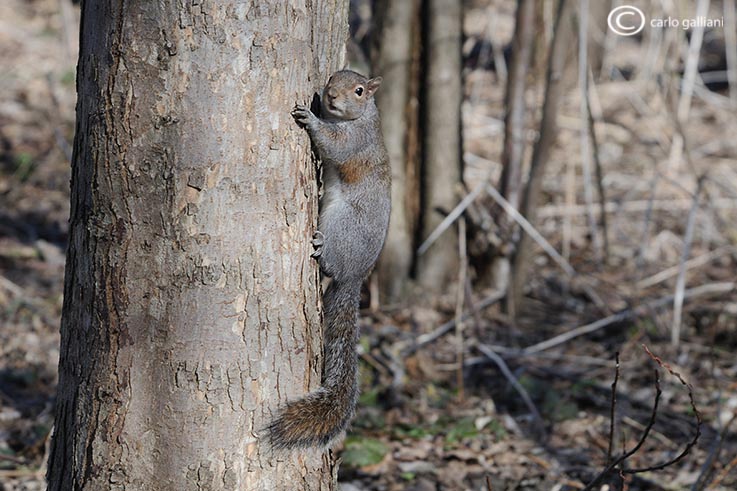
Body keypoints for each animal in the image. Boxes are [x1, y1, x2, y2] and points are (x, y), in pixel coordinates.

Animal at [266, 71, 392, 452]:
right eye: (333, 78)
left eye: (360, 90)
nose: (331, 96)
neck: (359, 117)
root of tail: (355, 276)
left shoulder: (355, 140)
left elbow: (335, 145)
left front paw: (310, 118)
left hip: (342, 224)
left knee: (330, 261)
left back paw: (321, 247)